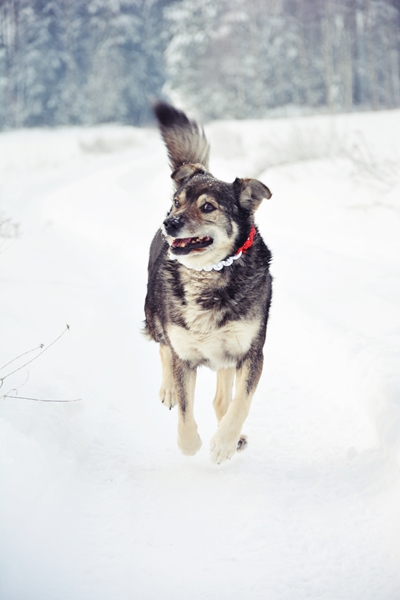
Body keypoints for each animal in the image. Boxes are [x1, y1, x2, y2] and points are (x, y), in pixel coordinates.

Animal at [145, 102, 274, 464]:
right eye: (178, 202)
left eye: (207, 207)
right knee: (162, 348)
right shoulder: (185, 355)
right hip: (154, 315)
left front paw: (226, 442)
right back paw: (168, 389)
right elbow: (186, 410)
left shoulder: (251, 352)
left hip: (225, 353)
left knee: (222, 399)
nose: (169, 222)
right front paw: (190, 442)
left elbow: (240, 402)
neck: (208, 274)